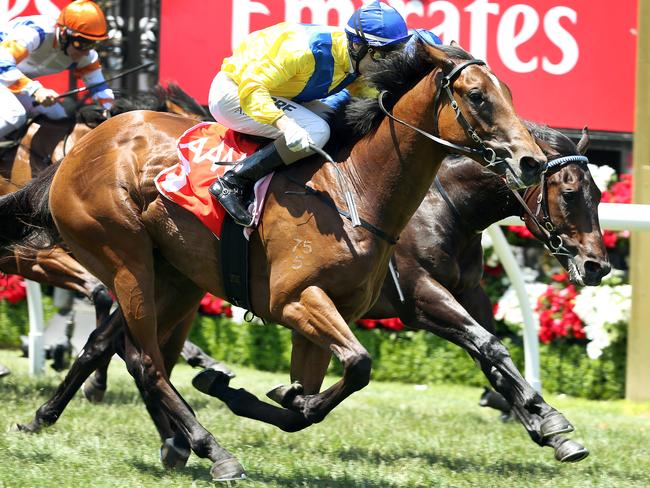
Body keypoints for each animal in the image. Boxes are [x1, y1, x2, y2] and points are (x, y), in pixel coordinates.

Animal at [0, 43, 548, 480]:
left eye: (509, 93)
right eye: (477, 96)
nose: (531, 161)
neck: (355, 192)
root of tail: (76, 151)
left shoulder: (331, 313)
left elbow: (319, 396)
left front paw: (265, 394)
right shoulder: (295, 301)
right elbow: (359, 364)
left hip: (175, 276)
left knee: (130, 352)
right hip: (124, 258)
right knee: (147, 362)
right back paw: (213, 451)